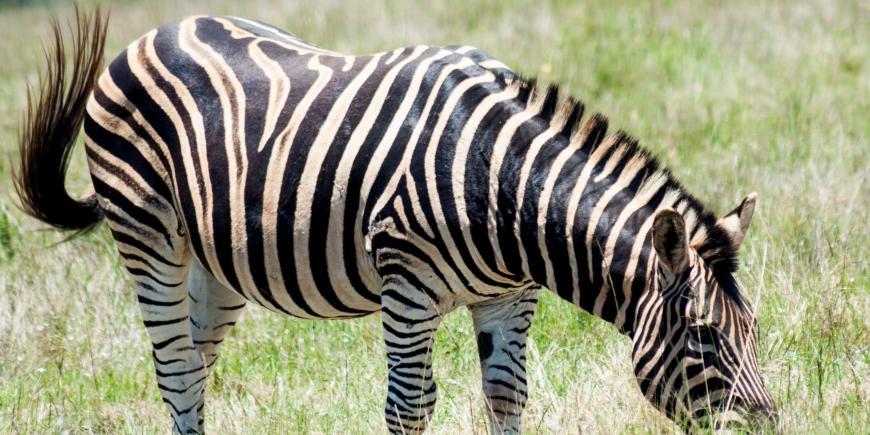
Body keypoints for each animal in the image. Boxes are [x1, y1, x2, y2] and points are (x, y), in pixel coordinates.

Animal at [13, 8, 778, 434]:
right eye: (704, 336)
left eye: (755, 330)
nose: (769, 427)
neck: (502, 187)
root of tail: (154, 33)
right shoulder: (407, 285)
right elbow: (410, 405)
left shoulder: (511, 295)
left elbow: (507, 395)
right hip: (149, 237)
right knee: (174, 368)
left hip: (216, 266)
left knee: (194, 373)